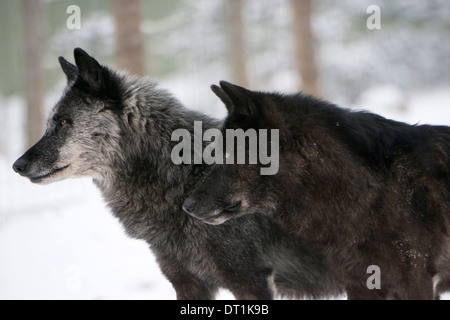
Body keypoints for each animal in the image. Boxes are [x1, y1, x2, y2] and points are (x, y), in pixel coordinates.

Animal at [11, 48, 342, 298]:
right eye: (51, 122)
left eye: (64, 122)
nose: (17, 165)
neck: (184, 177)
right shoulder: (187, 284)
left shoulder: (251, 282)